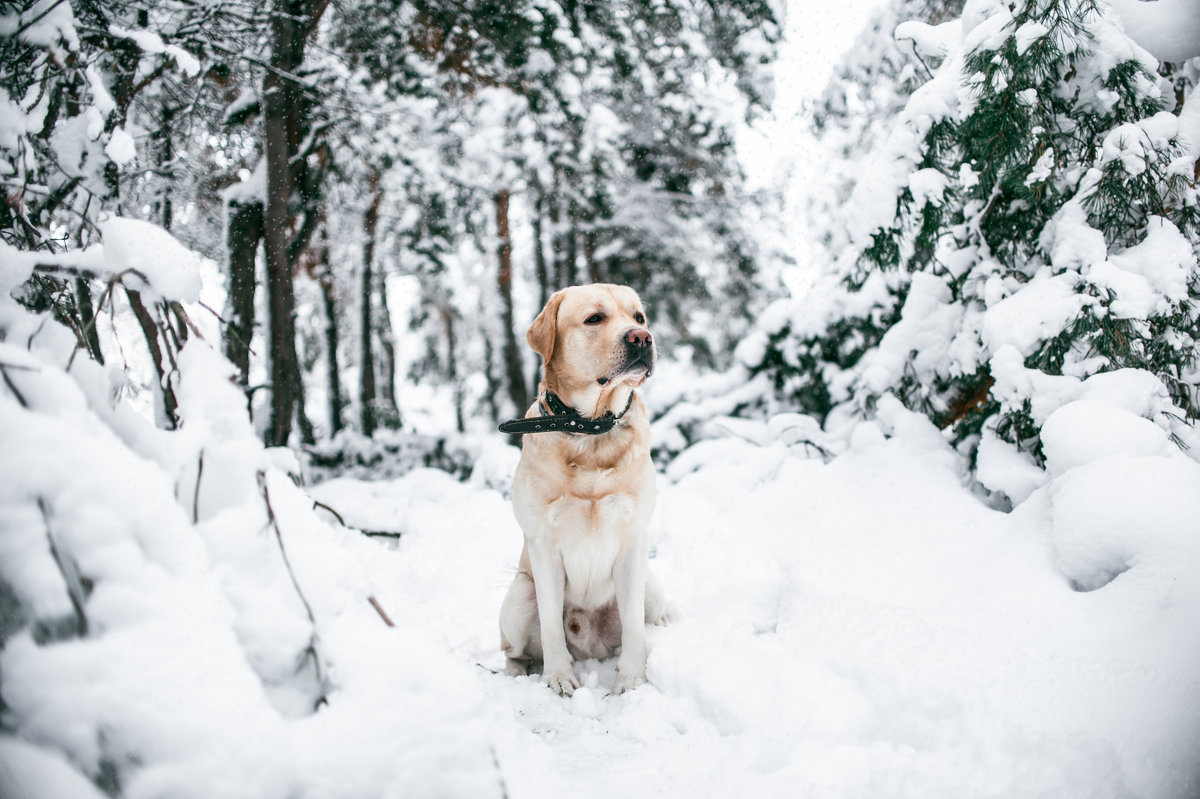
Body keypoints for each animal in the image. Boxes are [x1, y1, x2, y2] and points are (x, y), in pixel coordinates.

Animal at [496, 284, 667, 691]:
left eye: (638, 317)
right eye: (594, 318)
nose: (643, 338)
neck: (591, 430)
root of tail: (592, 647)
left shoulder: (633, 541)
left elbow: (635, 628)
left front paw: (632, 681)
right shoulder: (543, 546)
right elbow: (550, 627)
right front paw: (558, 677)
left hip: (651, 586)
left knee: (650, 618)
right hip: (518, 595)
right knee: (514, 650)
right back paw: (516, 673)